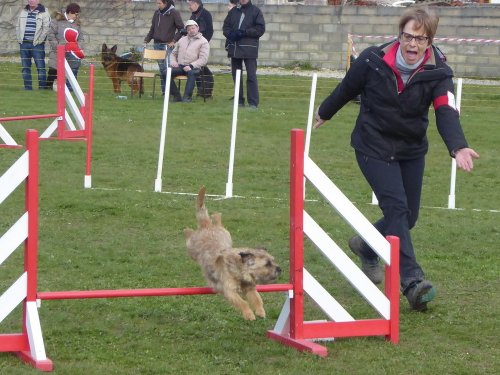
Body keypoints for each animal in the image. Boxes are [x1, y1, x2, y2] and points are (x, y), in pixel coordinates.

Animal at [184, 187, 282, 322]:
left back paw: (216, 216)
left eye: (273, 260)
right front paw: (249, 314)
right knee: (189, 232)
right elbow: (242, 302)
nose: (280, 269)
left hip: (226, 233)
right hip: (192, 247)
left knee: (216, 219)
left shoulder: (250, 288)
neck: (239, 271)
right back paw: (187, 230)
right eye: (267, 264)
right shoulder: (229, 290)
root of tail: (207, 226)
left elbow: (257, 298)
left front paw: (260, 311)